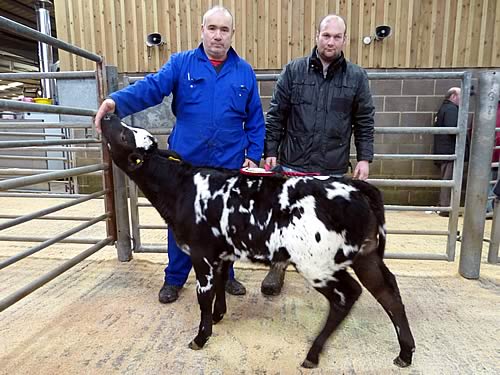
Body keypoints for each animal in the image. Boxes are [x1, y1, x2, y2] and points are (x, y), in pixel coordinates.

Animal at [100, 114, 414, 370]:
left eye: (125, 135)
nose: (108, 115)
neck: (181, 188)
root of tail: (354, 186)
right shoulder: (221, 254)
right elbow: (220, 287)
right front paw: (218, 316)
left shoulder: (201, 254)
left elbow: (204, 295)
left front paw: (200, 337)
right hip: (365, 256)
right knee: (388, 291)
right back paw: (405, 353)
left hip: (317, 263)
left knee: (347, 295)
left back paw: (312, 354)